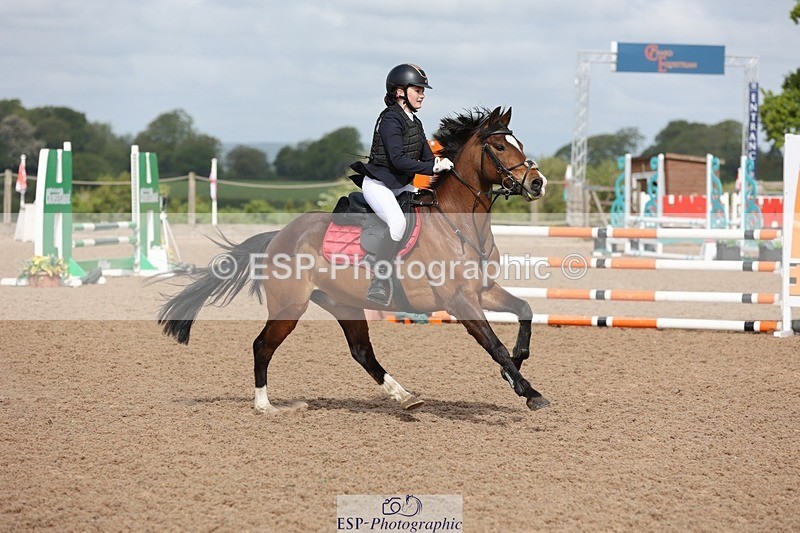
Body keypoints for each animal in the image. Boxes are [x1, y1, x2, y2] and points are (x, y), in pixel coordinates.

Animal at [158, 106, 550, 412]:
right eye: (498, 146)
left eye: (520, 144)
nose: (537, 183)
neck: (458, 223)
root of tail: (280, 236)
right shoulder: (459, 300)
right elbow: (494, 345)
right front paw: (529, 391)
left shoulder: (481, 290)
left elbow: (525, 310)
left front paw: (515, 369)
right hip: (290, 306)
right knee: (262, 346)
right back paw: (265, 405)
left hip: (343, 303)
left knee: (362, 352)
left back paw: (405, 397)